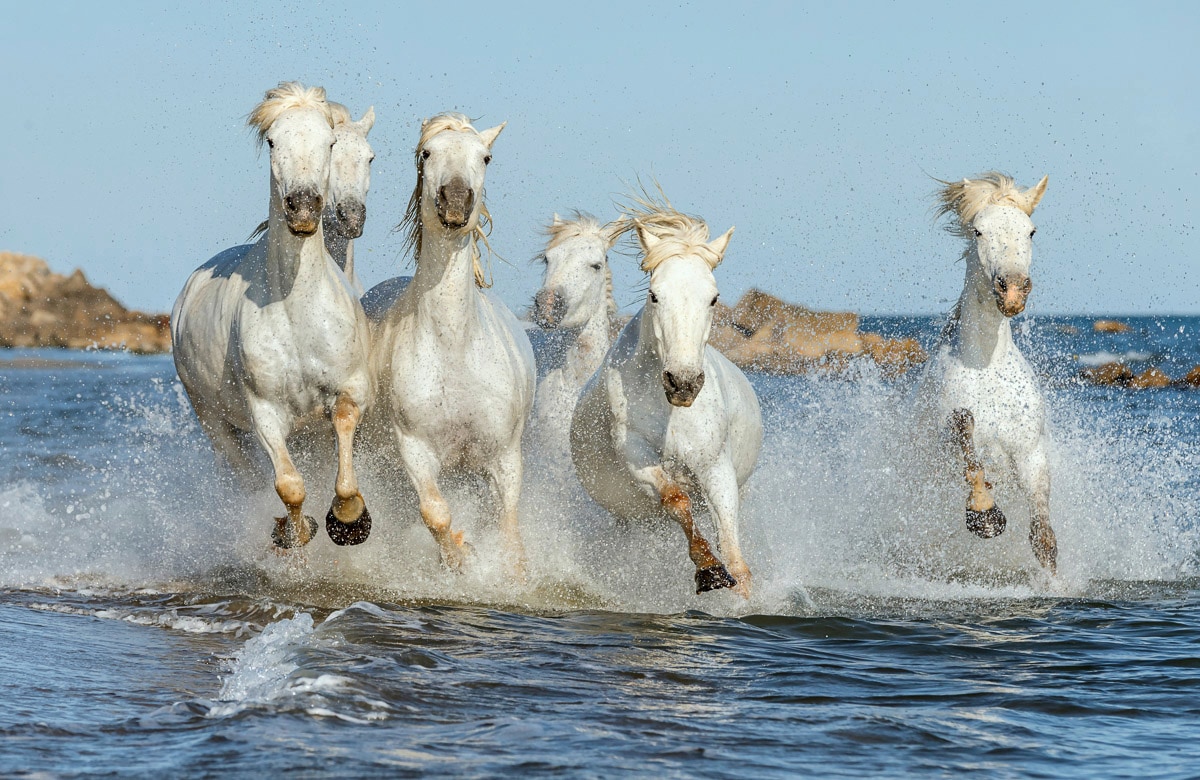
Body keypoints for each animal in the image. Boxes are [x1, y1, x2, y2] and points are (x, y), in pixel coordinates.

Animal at [171, 82, 374, 550]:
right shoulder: (263, 412)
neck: (298, 310)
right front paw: (294, 532)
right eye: (271, 141)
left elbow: (343, 451)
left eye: (329, 142)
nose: (302, 207)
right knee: (246, 478)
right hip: (214, 423)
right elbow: (289, 486)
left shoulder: (350, 391)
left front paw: (350, 519)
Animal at [365, 112, 535, 575]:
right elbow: (435, 512)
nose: (457, 201)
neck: (454, 348)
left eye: (485, 157)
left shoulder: (503, 457)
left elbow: (509, 528)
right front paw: (461, 557)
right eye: (427, 153)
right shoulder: (414, 450)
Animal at [569, 194, 763, 597]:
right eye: (655, 295)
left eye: (714, 298)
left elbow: (734, 551)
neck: (670, 411)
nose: (683, 384)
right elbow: (676, 498)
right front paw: (709, 569)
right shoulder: (636, 454)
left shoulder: (715, 466)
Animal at [913, 171, 1057, 574]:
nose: (1013, 291)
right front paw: (984, 514)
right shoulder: (948, 442)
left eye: (1031, 231)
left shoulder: (1030, 453)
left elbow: (1043, 537)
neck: (986, 365)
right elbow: (966, 436)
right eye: (978, 231)